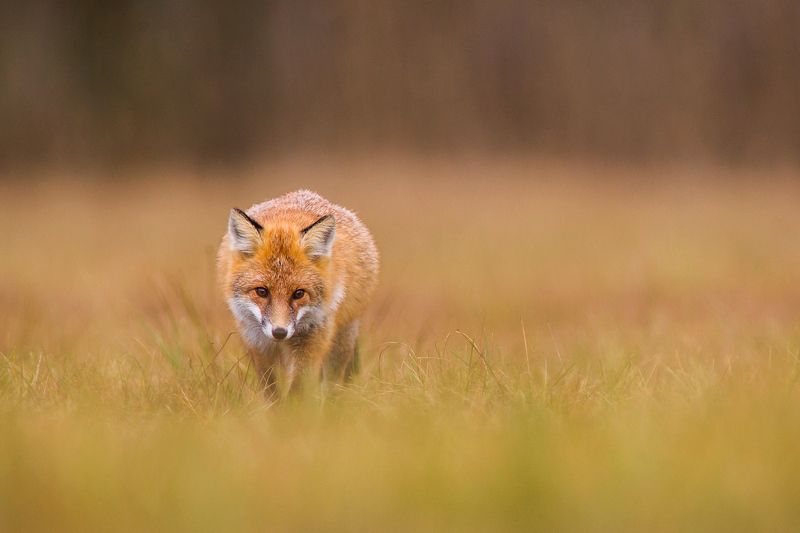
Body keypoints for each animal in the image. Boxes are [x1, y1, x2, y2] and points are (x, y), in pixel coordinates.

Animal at [218, 190, 379, 398]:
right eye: (261, 291)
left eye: (299, 293)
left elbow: (299, 387)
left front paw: (295, 408)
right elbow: (270, 388)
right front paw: (275, 407)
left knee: (333, 379)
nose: (279, 332)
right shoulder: (256, 342)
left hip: (343, 337)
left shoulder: (312, 338)